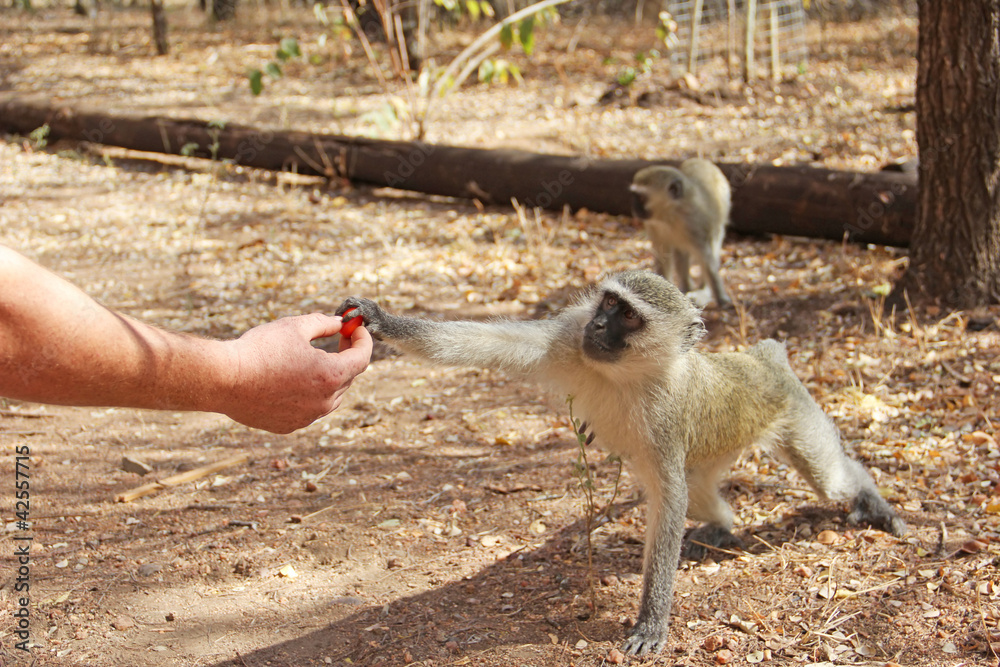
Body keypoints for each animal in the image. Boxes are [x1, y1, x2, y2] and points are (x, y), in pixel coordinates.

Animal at [336, 270, 905, 656]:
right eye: (608, 302)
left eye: (628, 315)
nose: (599, 322)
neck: (625, 374)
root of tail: (760, 361)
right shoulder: (568, 339)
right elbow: (490, 343)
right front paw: (382, 320)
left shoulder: (667, 417)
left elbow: (667, 502)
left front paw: (651, 621)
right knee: (700, 492)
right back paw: (723, 526)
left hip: (791, 409)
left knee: (829, 481)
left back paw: (870, 500)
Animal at [630, 159, 733, 307]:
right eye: (634, 196)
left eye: (641, 198)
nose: (634, 207)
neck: (670, 214)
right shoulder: (653, 224)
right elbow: (663, 254)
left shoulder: (694, 223)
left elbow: (706, 259)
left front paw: (721, 298)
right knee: (680, 252)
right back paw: (686, 287)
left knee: (712, 244)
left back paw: (702, 290)